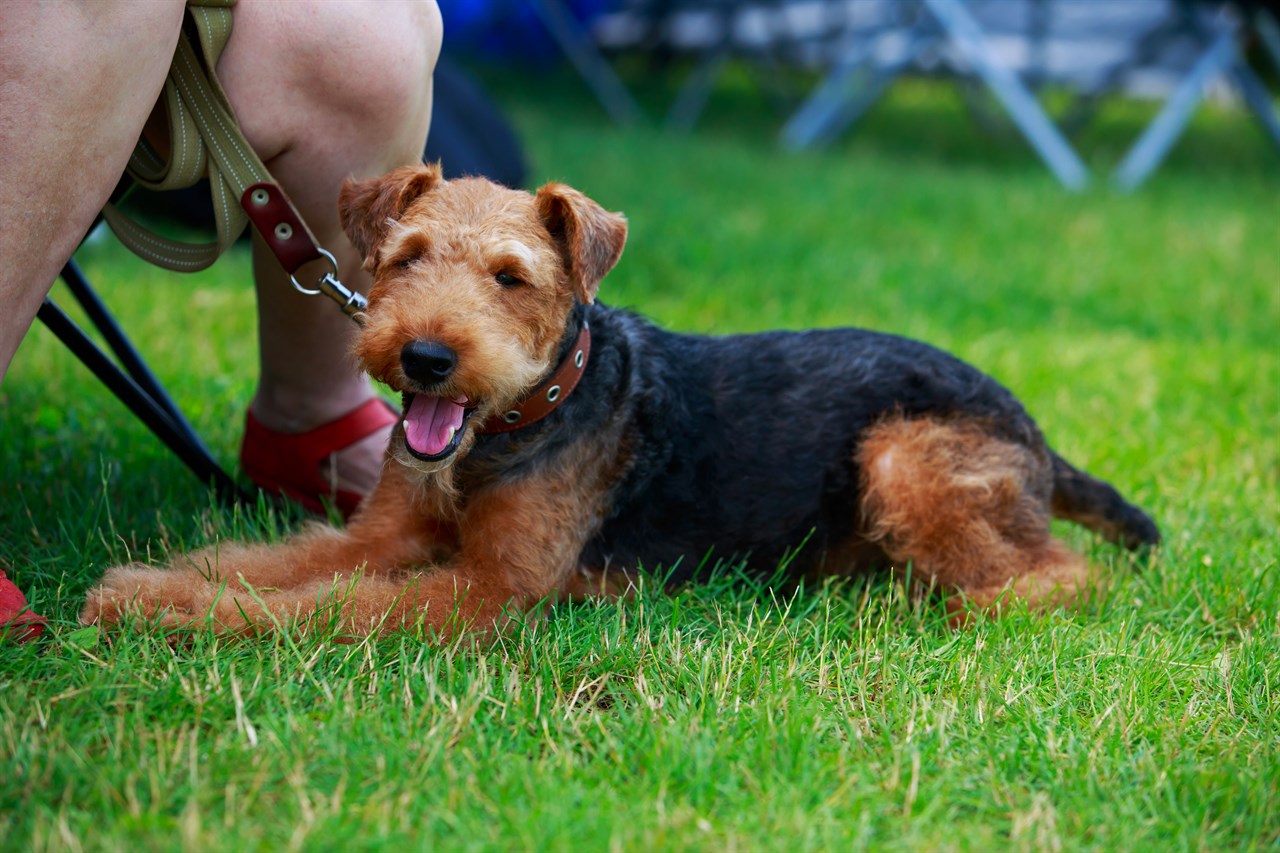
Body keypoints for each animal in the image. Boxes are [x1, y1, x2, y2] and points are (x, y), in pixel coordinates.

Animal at [77, 162, 1162, 635]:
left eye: (511, 277)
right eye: (406, 255)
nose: (425, 357)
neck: (519, 420)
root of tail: (1031, 424)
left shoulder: (488, 590)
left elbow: (318, 607)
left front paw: (188, 617)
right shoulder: (378, 534)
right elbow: (276, 564)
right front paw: (148, 589)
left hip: (901, 458)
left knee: (1061, 574)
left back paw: (944, 606)